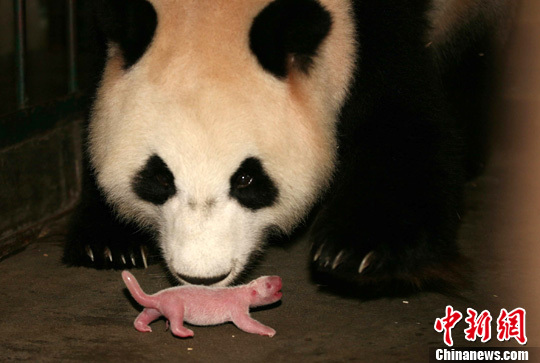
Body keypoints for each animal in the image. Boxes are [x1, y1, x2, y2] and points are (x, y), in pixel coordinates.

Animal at [64, 0, 516, 292]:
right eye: (159, 178)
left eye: (247, 180)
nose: (202, 278)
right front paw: (109, 241)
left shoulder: (378, 31)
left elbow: (401, 119)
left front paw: (361, 250)